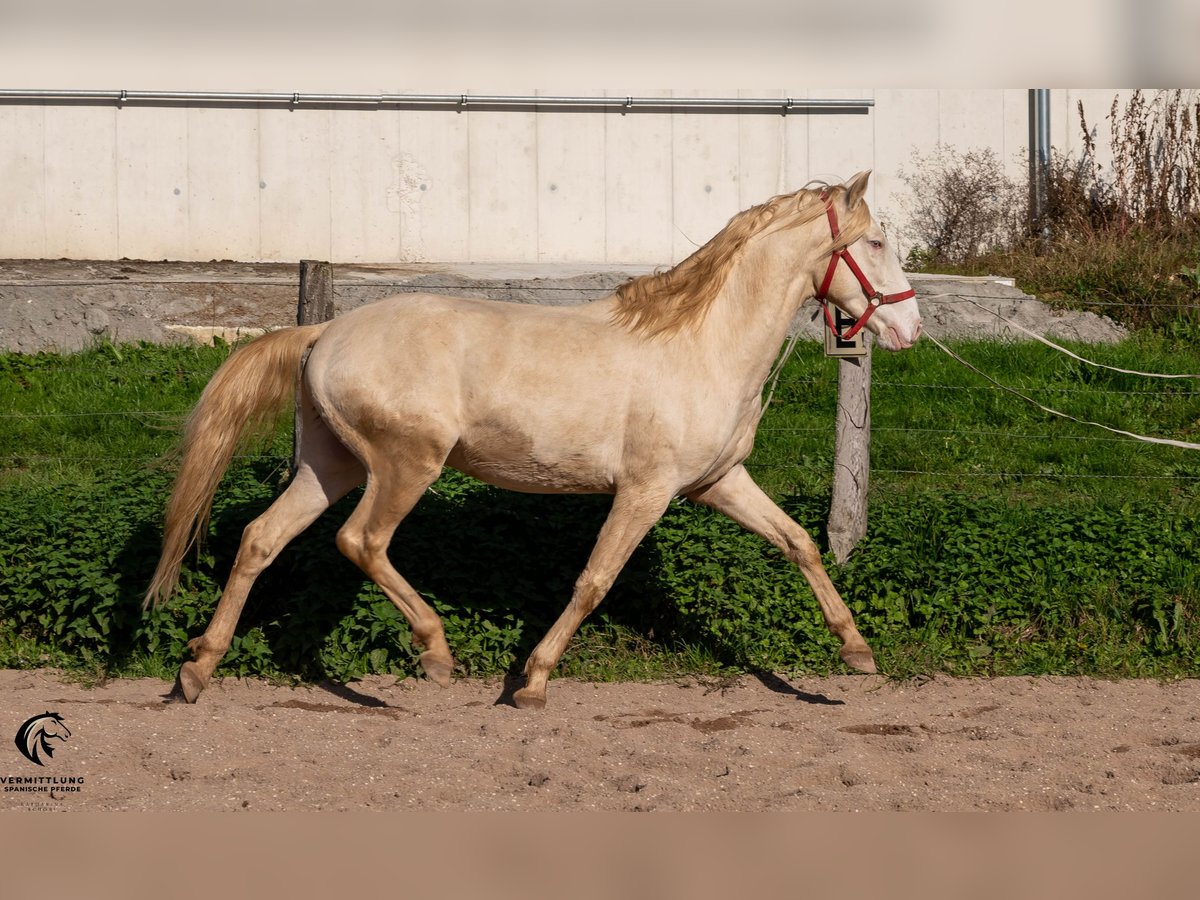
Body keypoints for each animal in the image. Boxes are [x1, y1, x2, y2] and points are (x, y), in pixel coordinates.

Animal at [145, 170, 921, 710]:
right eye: (876, 242)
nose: (909, 328)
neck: (701, 345)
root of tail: (324, 333)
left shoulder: (717, 483)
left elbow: (799, 543)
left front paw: (857, 653)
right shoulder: (645, 491)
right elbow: (594, 580)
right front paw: (533, 683)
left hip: (329, 465)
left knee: (261, 539)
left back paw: (197, 669)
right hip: (405, 465)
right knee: (361, 541)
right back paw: (436, 654)